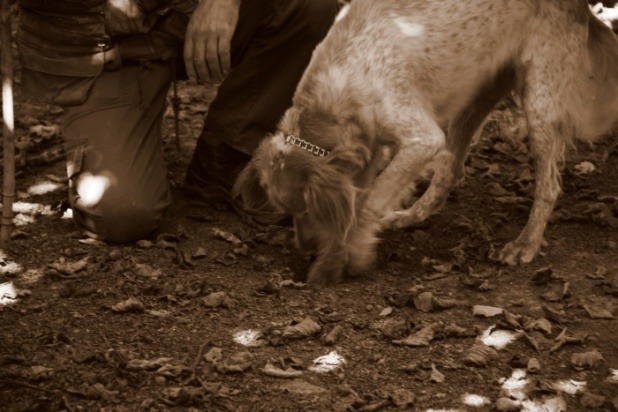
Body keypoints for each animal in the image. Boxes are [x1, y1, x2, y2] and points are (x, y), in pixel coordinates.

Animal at [232, 0, 616, 288]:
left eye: (305, 208)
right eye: (290, 212)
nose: (306, 249)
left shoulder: (422, 138)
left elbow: (369, 202)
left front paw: (352, 255)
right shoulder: (373, 149)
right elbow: (359, 201)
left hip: (539, 104)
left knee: (548, 185)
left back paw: (525, 244)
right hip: (475, 96)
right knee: (451, 172)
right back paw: (412, 215)